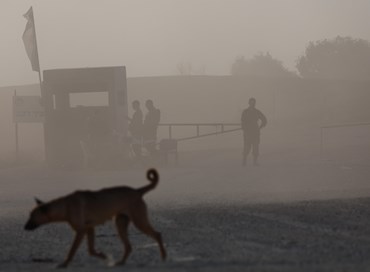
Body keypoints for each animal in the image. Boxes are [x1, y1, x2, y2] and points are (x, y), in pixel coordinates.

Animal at [24, 169, 166, 266]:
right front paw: (103, 256)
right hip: (120, 223)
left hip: (139, 221)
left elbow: (72, 250)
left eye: (32, 216)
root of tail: (137, 191)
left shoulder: (81, 231)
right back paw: (120, 262)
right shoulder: (90, 228)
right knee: (129, 246)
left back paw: (164, 256)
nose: (24, 227)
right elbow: (91, 250)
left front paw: (64, 264)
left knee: (158, 234)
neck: (65, 205)